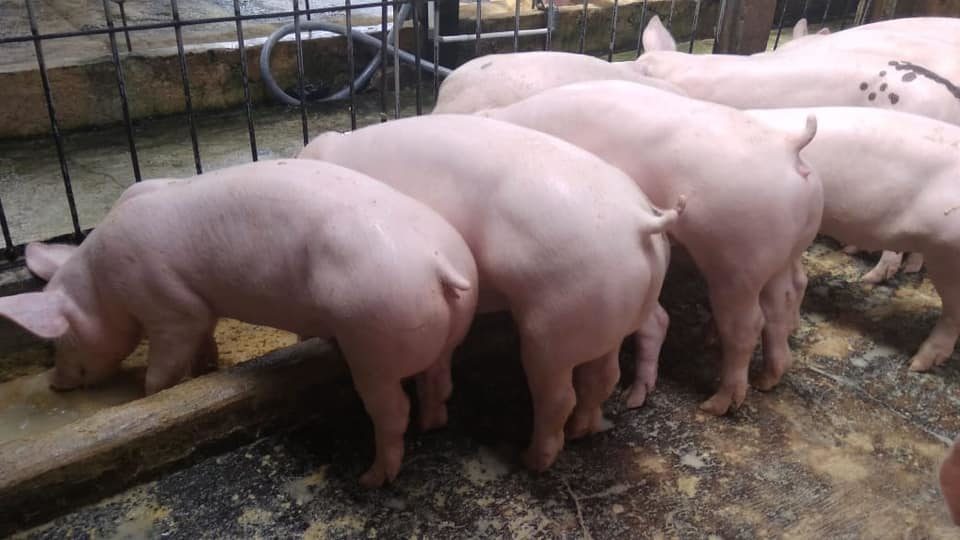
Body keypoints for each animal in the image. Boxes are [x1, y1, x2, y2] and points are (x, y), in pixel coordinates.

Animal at [2, 159, 479, 487]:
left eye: (60, 339)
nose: (56, 383)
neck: (102, 285)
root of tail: (437, 264)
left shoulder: (168, 305)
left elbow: (165, 365)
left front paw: (150, 395)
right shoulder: (199, 307)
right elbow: (204, 339)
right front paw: (206, 369)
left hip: (371, 335)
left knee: (393, 408)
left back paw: (372, 478)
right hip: (441, 326)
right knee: (439, 379)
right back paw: (432, 423)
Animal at [298, 114, 681, 470]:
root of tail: (640, 220)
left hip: (551, 327)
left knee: (558, 396)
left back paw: (532, 459)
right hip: (612, 312)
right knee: (605, 375)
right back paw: (588, 426)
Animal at [481, 81, 821, 415]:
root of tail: (789, 146)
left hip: (736, 259)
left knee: (746, 324)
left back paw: (716, 404)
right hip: (783, 251)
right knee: (783, 298)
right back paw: (767, 378)